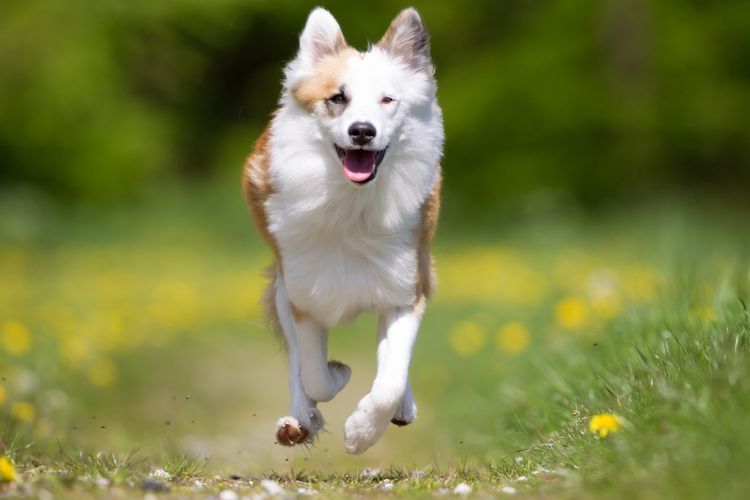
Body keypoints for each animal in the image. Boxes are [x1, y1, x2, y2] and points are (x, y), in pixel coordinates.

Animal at [244, 6, 444, 454]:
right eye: (338, 98)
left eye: (388, 100)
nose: (362, 131)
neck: (352, 203)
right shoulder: (302, 293)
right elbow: (314, 373)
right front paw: (336, 376)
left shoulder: (404, 289)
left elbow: (390, 378)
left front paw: (361, 434)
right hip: (281, 287)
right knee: (298, 368)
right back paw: (297, 422)